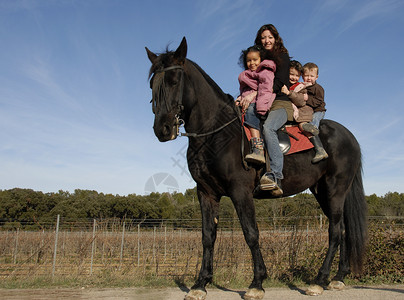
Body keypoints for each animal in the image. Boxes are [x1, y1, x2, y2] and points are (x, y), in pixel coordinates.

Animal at [145, 38, 366, 300]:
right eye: (152, 84)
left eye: (174, 81)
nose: (162, 128)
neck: (217, 134)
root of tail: (349, 136)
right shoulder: (206, 193)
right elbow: (208, 236)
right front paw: (200, 284)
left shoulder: (240, 191)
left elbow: (251, 233)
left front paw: (257, 283)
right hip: (322, 191)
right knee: (343, 230)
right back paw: (338, 277)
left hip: (336, 189)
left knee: (334, 231)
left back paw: (319, 280)